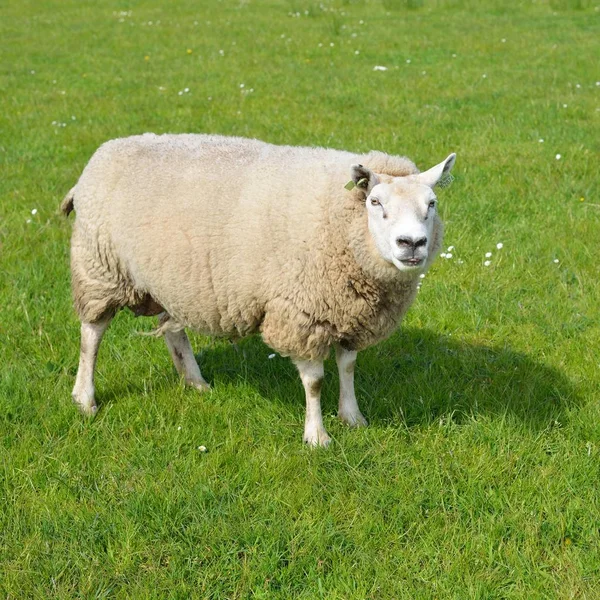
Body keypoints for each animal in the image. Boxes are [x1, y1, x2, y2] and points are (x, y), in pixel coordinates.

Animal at [62, 135, 454, 446]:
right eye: (375, 202)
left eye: (432, 203)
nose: (412, 243)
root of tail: (104, 151)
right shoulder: (302, 313)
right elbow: (315, 382)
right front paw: (317, 437)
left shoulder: (349, 313)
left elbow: (348, 367)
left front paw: (353, 418)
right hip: (99, 268)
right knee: (91, 335)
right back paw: (85, 399)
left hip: (169, 277)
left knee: (172, 330)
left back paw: (195, 381)